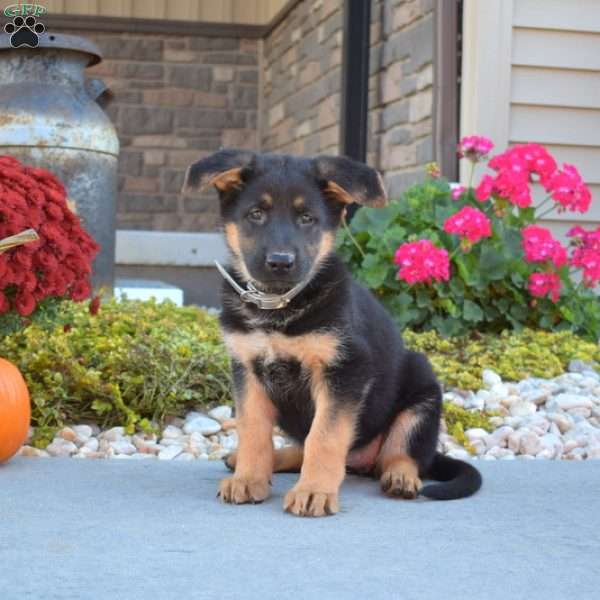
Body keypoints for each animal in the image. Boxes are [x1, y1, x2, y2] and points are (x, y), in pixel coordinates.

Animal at [184, 149, 482, 516]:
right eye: (255, 214)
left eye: (307, 218)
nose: (280, 262)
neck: (279, 306)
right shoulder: (247, 370)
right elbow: (254, 430)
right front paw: (249, 478)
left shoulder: (345, 370)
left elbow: (324, 437)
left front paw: (314, 491)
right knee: (301, 448)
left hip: (422, 392)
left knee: (401, 454)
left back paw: (400, 476)